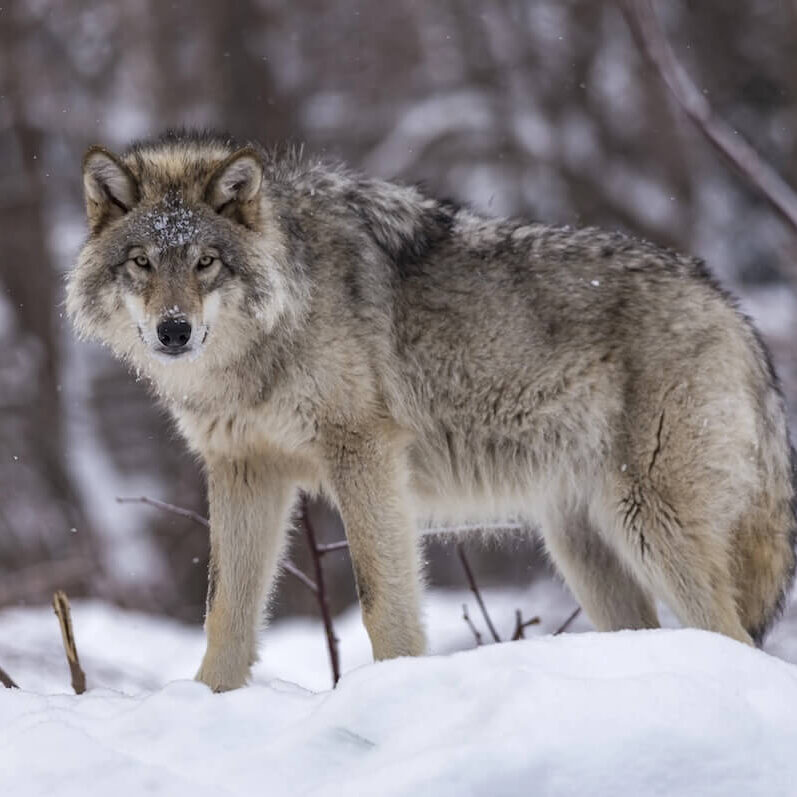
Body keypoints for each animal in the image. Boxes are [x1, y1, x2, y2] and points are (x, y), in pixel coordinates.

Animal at [67, 130, 796, 691]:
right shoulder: (244, 468)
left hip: (650, 525)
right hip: (584, 545)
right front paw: (208, 700)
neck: (269, 335)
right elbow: (225, 611)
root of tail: (730, 306)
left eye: (206, 262)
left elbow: (380, 600)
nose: (173, 331)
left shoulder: (362, 452)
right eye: (142, 262)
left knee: (733, 635)